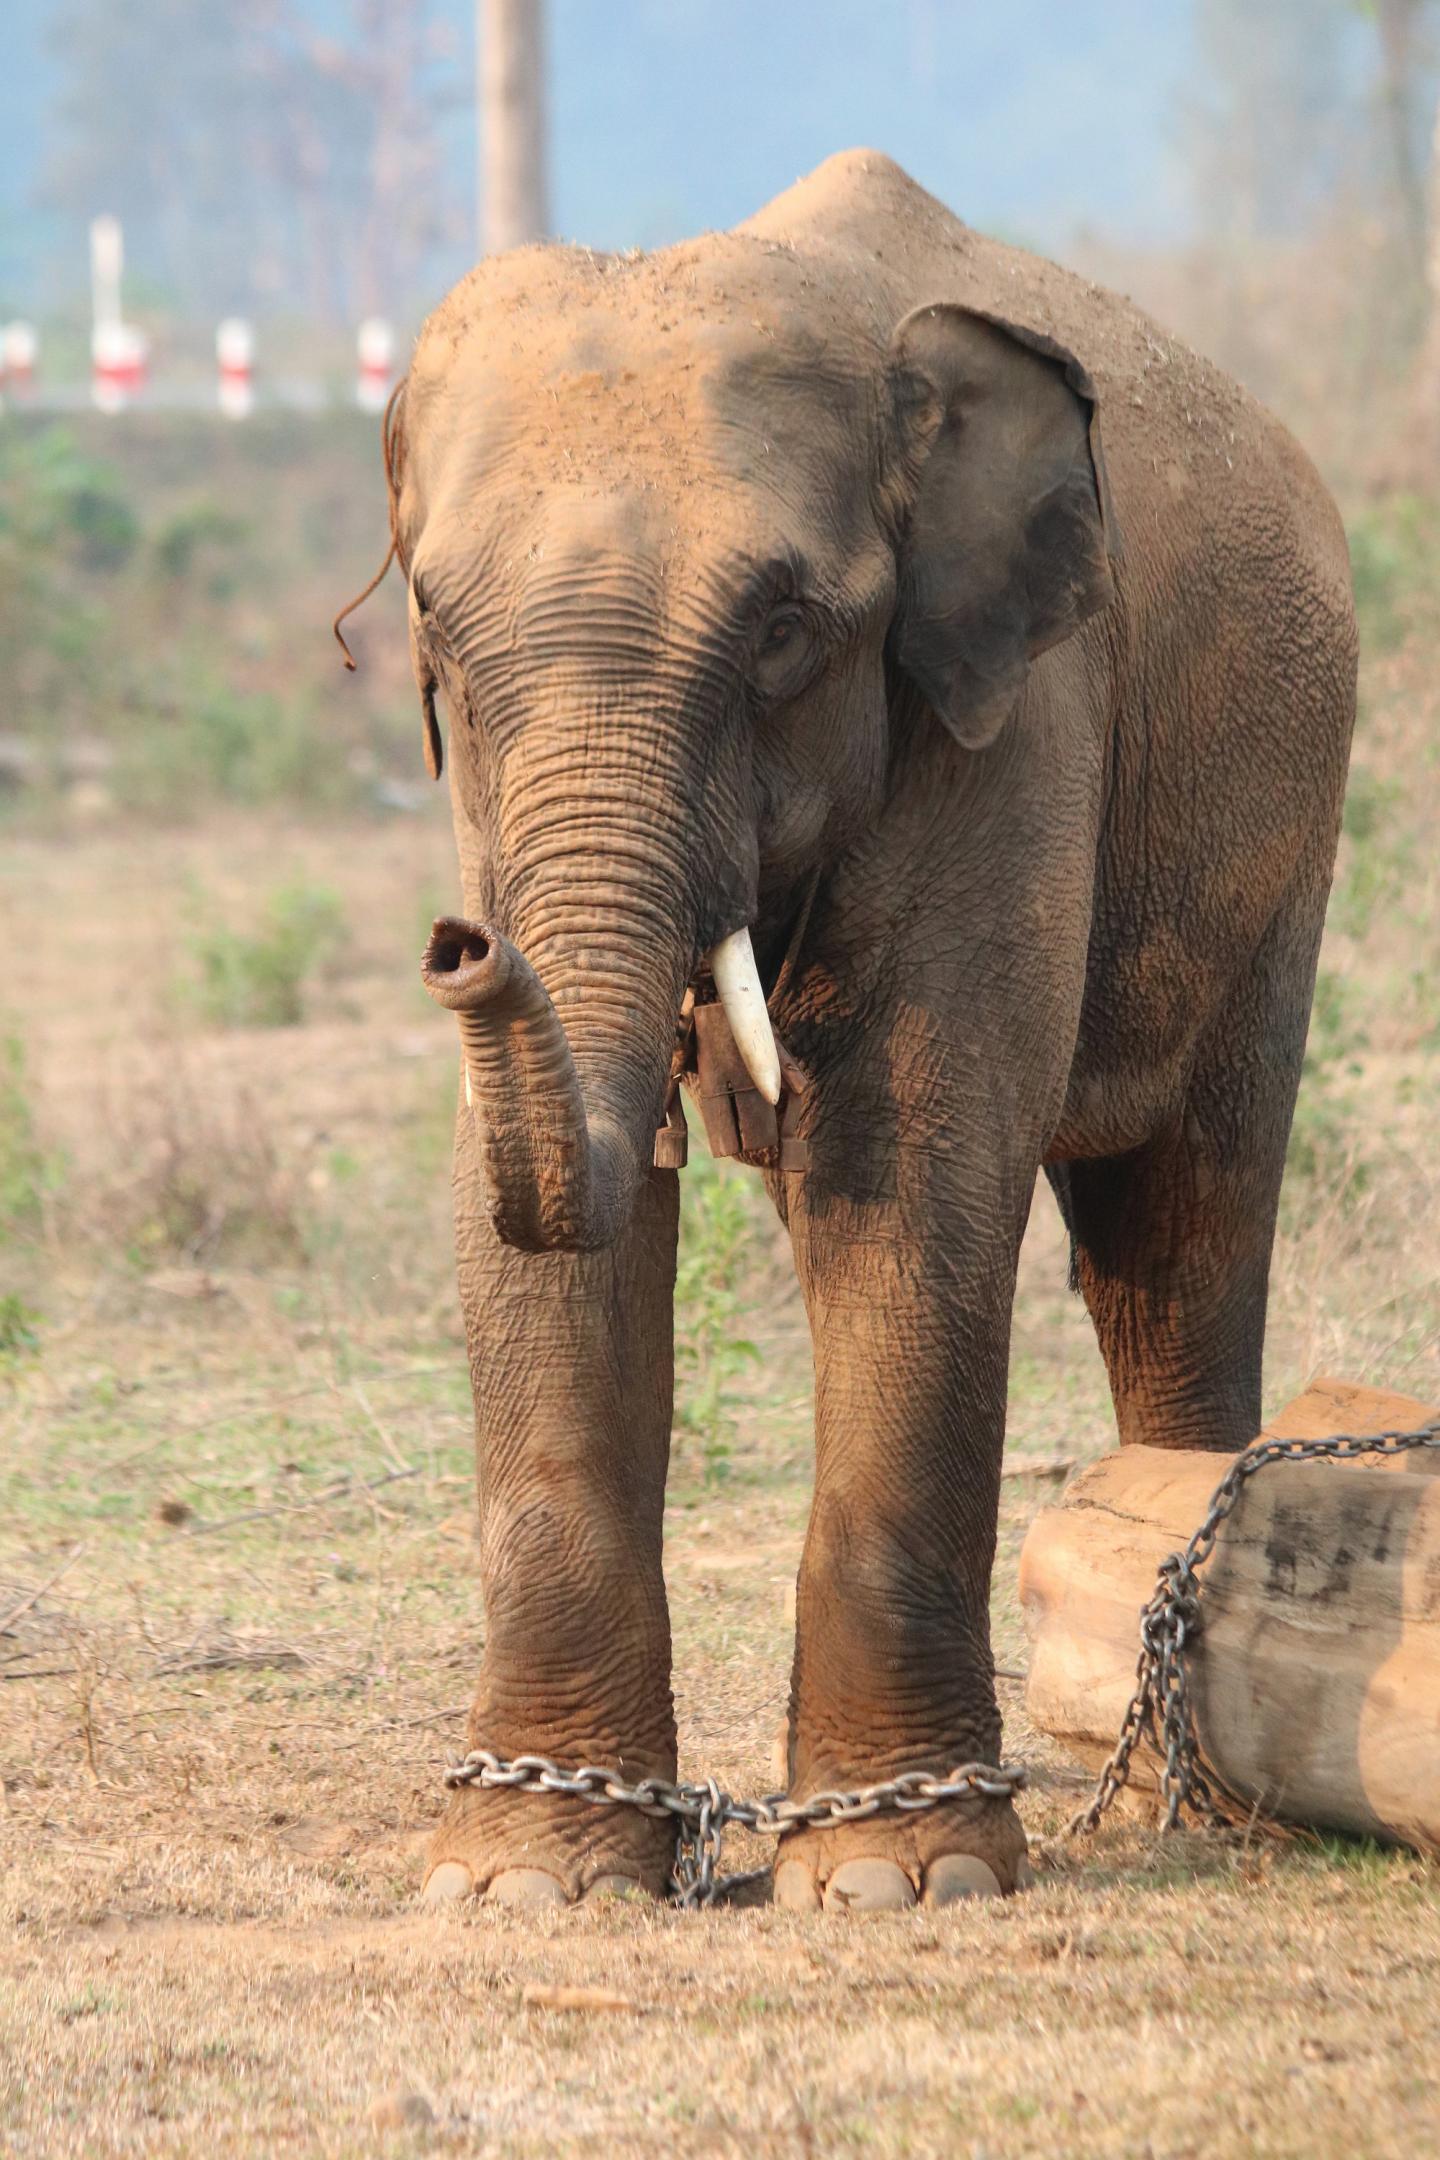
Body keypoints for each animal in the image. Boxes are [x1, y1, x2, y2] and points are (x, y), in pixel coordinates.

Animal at [377, 147, 1355, 1909]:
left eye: (781, 628)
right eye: (441, 637)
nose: (457, 943)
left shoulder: (1012, 705)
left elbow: (915, 1171)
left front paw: (908, 1880)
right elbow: (540, 1225)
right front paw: (527, 1884)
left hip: (1280, 826)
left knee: (1181, 1215)